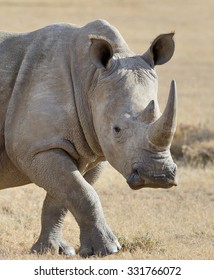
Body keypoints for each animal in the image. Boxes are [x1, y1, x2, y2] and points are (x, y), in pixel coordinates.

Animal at [0, 19, 177, 256]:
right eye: (117, 129)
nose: (157, 177)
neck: (90, 80)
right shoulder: (37, 148)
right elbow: (83, 193)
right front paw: (109, 249)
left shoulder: (92, 150)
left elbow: (65, 196)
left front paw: (53, 250)